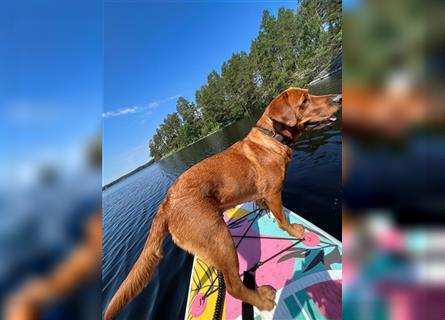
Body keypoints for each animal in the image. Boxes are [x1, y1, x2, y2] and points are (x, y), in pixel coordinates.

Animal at [104, 87, 340, 320]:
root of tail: (166, 204)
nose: (338, 97)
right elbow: (282, 218)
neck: (272, 137)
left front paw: (262, 208)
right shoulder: (274, 193)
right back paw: (262, 299)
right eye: (304, 101)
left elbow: (261, 202)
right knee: (234, 286)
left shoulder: (263, 193)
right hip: (220, 238)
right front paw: (293, 230)